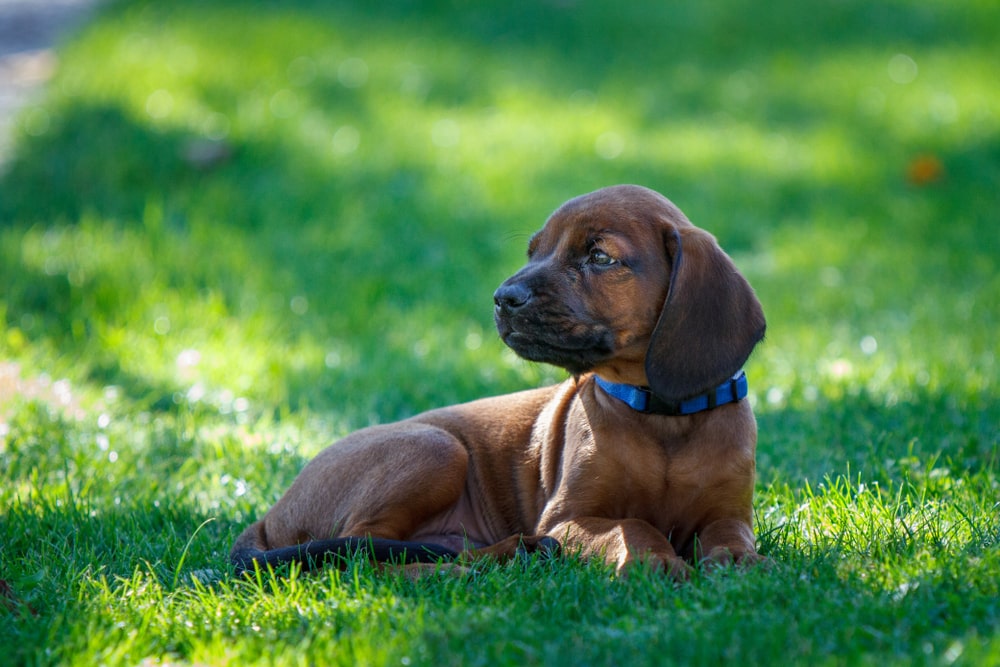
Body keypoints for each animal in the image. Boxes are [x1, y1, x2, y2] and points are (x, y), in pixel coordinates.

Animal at [232, 184, 764, 580]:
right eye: (533, 251)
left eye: (599, 257)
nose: (503, 298)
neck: (660, 414)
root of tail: (269, 514)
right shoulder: (566, 517)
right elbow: (631, 526)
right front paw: (655, 561)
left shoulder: (729, 512)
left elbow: (728, 535)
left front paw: (740, 562)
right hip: (435, 448)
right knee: (357, 552)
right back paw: (462, 571)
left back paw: (513, 551)